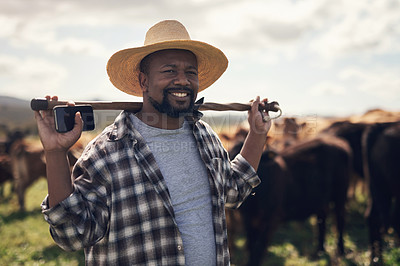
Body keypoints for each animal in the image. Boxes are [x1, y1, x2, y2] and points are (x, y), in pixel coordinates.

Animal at [228, 135, 350, 266]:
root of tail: (338, 142)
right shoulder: (249, 221)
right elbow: (251, 247)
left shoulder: (271, 220)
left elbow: (258, 250)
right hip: (321, 200)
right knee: (322, 220)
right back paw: (319, 251)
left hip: (340, 194)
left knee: (340, 219)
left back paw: (340, 251)